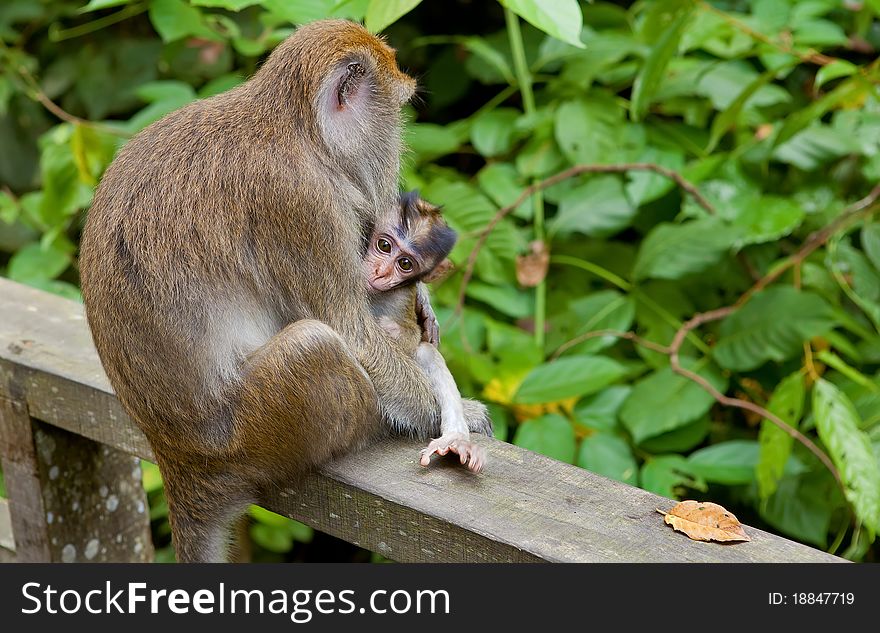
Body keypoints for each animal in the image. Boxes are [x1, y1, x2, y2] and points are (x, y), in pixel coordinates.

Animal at [364, 190, 488, 472]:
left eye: (405, 264)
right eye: (384, 246)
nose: (380, 272)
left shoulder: (401, 297)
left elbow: (413, 339)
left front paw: (392, 329)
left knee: (425, 353)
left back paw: (455, 439)